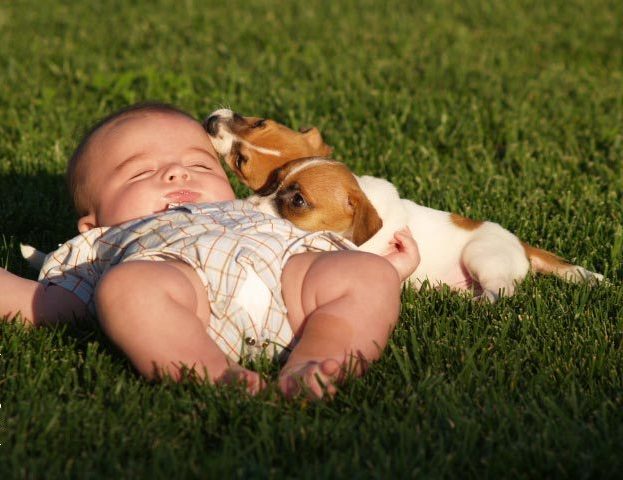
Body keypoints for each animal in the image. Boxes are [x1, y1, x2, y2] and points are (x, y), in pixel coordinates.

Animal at [206, 110, 604, 302]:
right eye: (274, 181)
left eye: (298, 201)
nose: (248, 205)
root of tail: (519, 244)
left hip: (482, 257)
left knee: (501, 293)